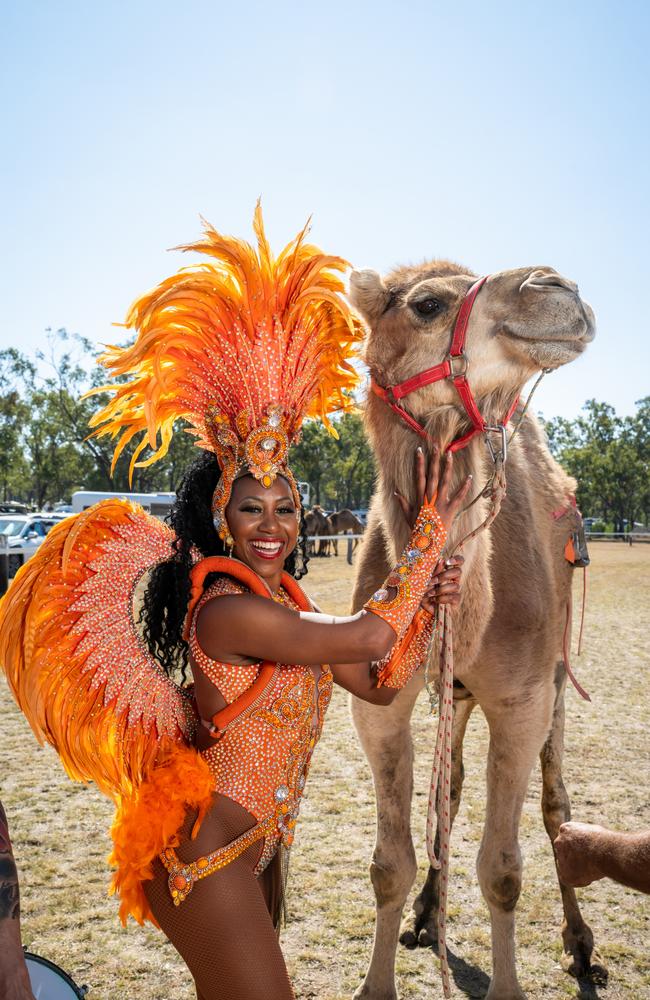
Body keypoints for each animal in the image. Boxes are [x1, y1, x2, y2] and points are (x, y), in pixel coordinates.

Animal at [346, 266, 600, 1000]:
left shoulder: (521, 698)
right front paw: (379, 979)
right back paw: (428, 915)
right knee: (451, 787)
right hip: (455, 689)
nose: (558, 289)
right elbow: (390, 862)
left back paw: (580, 944)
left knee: (555, 804)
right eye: (428, 304)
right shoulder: (376, 706)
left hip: (555, 674)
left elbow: (504, 870)